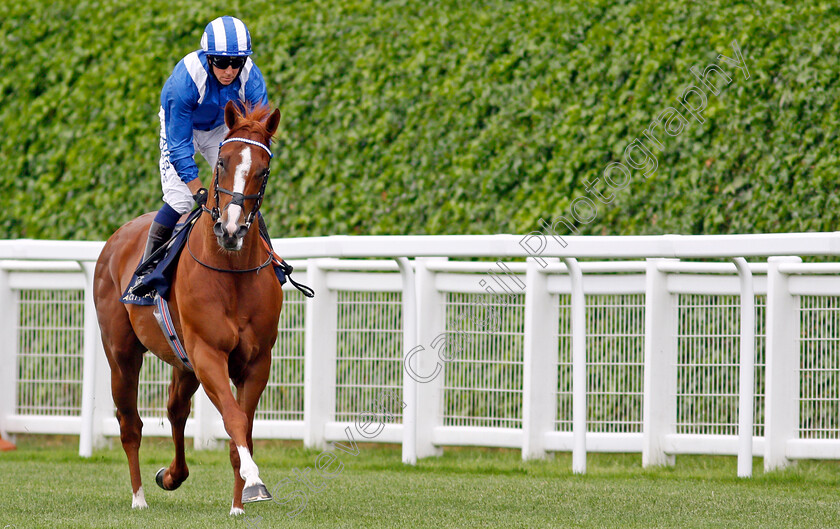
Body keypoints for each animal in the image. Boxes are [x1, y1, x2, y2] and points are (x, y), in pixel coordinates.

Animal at [92, 101, 282, 512]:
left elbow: (242, 427)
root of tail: (117, 237)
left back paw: (171, 475)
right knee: (130, 424)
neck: (231, 272)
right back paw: (139, 497)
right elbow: (233, 419)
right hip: (122, 353)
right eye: (223, 162)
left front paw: (240, 502)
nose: (231, 230)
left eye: (262, 169)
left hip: (183, 362)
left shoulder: (256, 361)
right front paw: (255, 481)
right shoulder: (208, 352)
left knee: (175, 410)